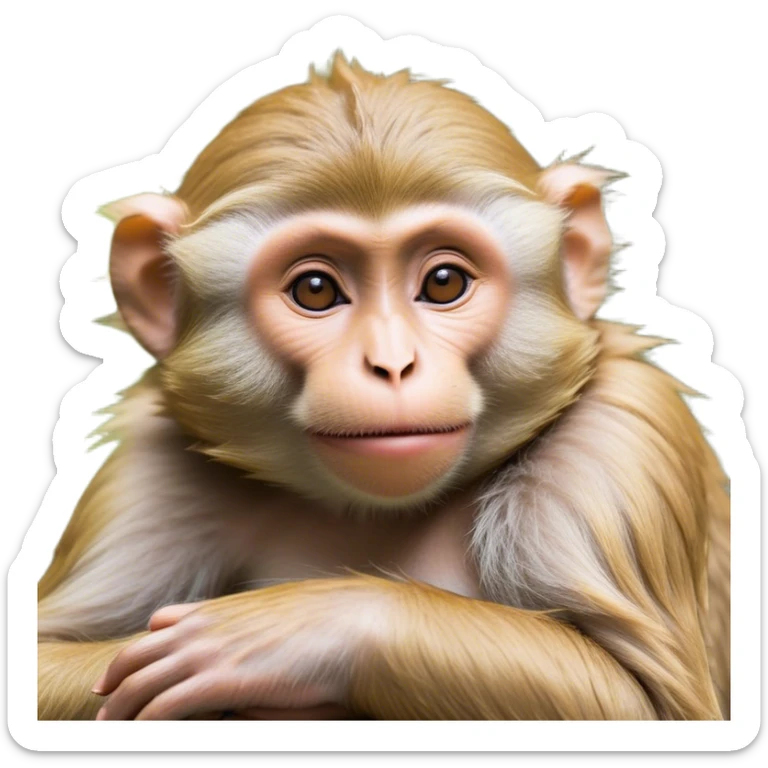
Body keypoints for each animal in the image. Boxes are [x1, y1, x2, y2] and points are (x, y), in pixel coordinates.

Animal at [37, 53, 730, 721]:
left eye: (445, 282)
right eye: (316, 290)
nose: (393, 364)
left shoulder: (622, 432)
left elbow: (640, 703)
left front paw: (294, 630)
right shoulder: (154, 471)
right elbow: (43, 659)